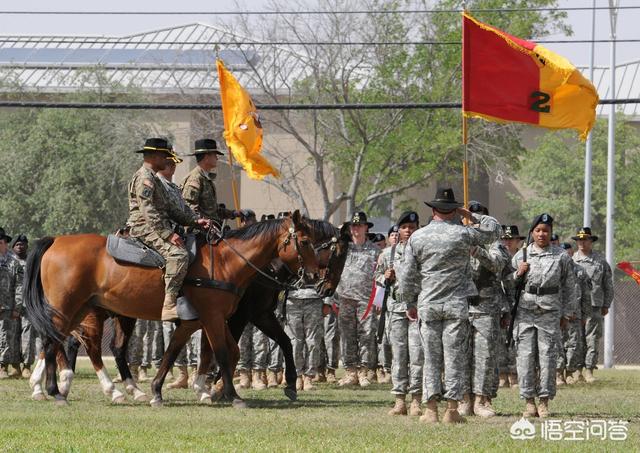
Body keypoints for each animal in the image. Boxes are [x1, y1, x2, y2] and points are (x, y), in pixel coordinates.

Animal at [25, 212, 318, 406]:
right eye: (304, 241)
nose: (315, 276)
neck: (226, 261)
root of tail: (56, 241)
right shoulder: (214, 317)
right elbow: (222, 354)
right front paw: (232, 396)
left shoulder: (198, 320)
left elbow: (176, 352)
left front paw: (159, 390)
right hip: (72, 309)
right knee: (69, 345)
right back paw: (63, 391)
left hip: (79, 310)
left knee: (58, 342)